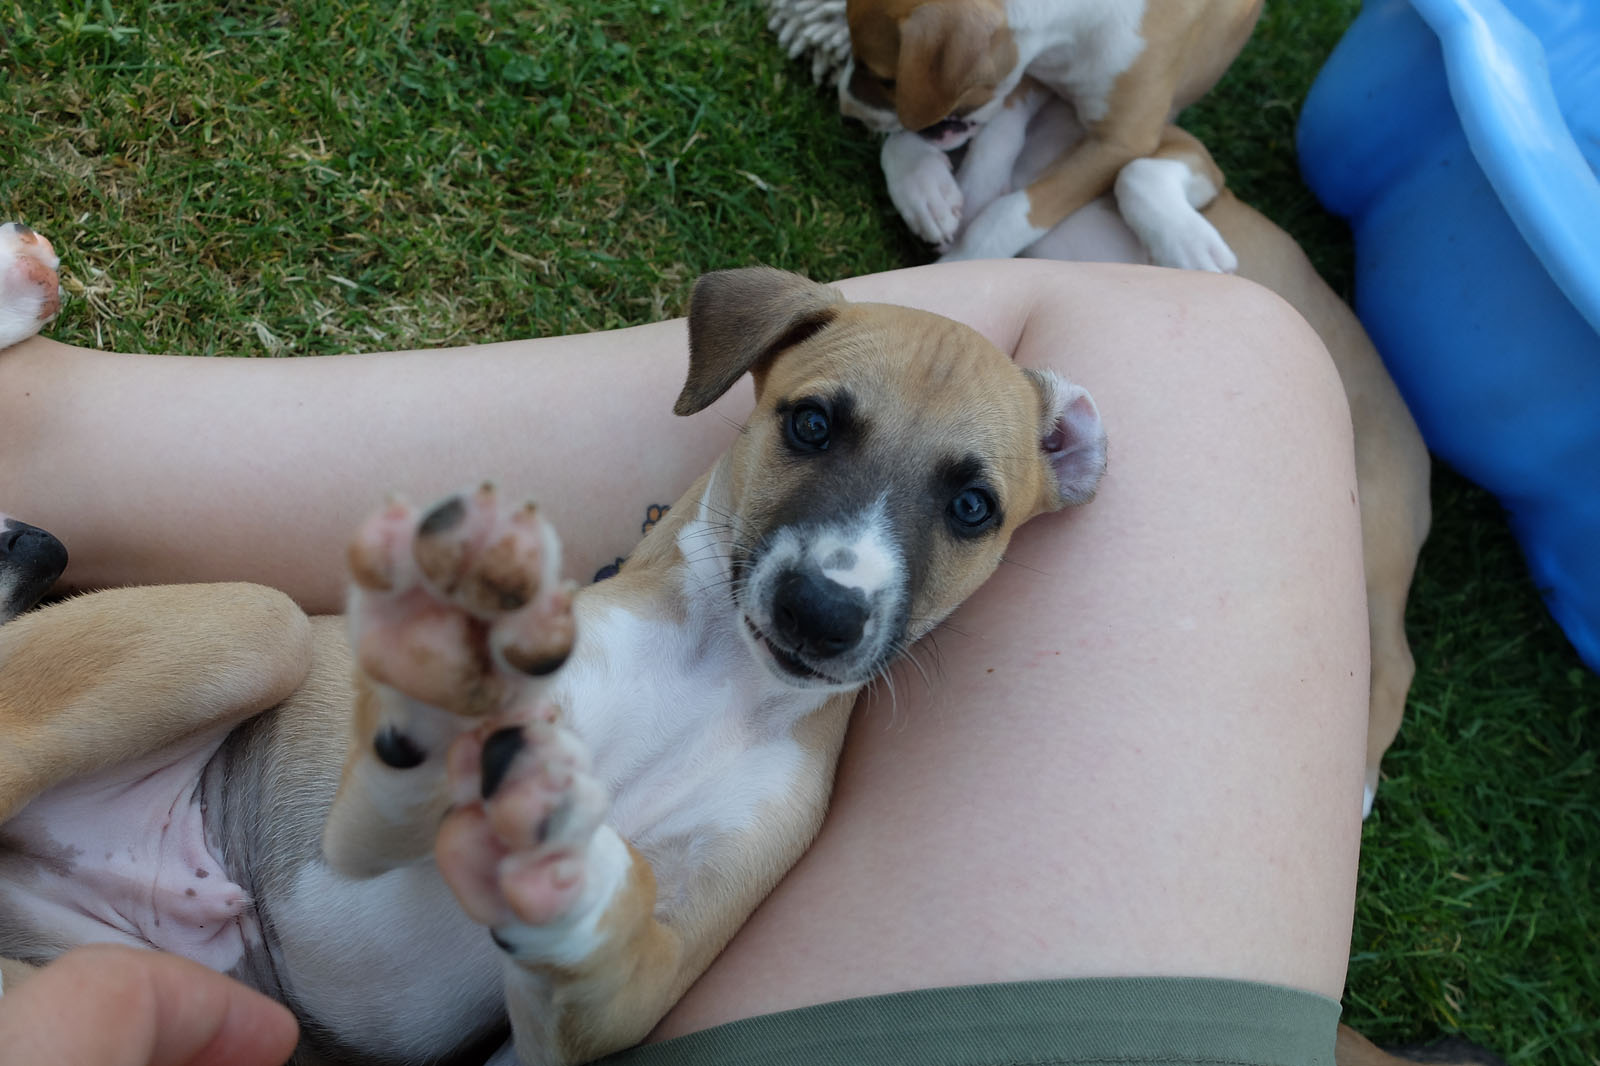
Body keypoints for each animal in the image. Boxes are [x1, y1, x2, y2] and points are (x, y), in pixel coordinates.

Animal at [839, 0, 1262, 266]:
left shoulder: (1123, 140)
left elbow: (1012, 212)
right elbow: (996, 132)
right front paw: (941, 196)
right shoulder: (1036, 78)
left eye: (886, 79)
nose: (846, 114)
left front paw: (961, 261)